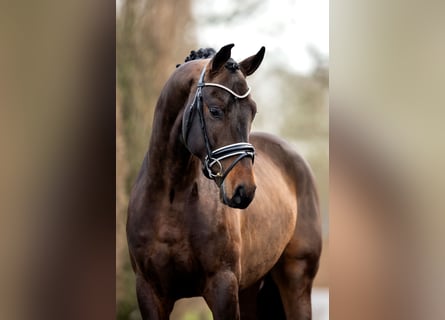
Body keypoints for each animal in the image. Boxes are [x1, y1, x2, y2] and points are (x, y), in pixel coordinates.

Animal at [126, 43, 320, 318]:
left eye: (252, 111)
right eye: (215, 110)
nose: (244, 190)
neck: (172, 198)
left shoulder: (222, 287)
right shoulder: (149, 292)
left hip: (296, 281)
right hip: (250, 290)